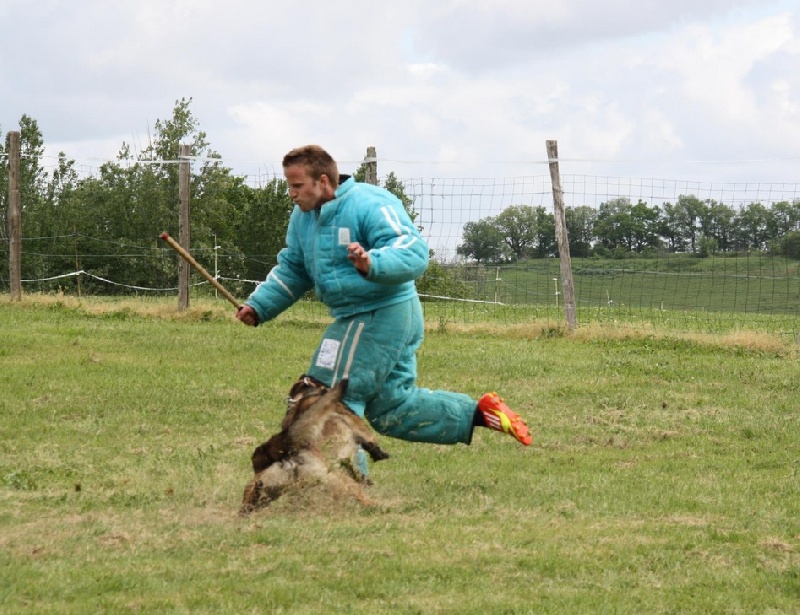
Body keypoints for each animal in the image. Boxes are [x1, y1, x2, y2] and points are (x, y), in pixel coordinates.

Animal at [239, 376, 389, 515]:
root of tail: (289, 450)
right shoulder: (349, 416)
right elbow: (366, 434)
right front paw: (377, 452)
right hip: (337, 478)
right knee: (361, 495)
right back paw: (381, 505)